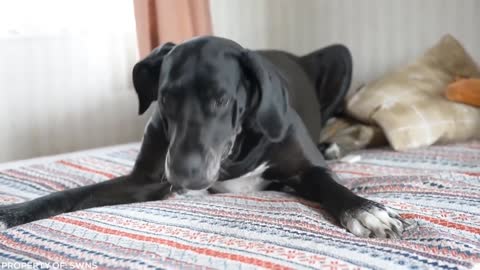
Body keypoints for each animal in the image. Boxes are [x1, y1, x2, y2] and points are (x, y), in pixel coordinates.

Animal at [0, 36, 404, 238]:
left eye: (221, 99)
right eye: (165, 97)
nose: (183, 175)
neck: (235, 153)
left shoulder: (306, 169)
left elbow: (329, 184)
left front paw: (367, 210)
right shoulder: (144, 181)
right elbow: (72, 195)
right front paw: (13, 212)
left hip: (341, 57)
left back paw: (334, 146)